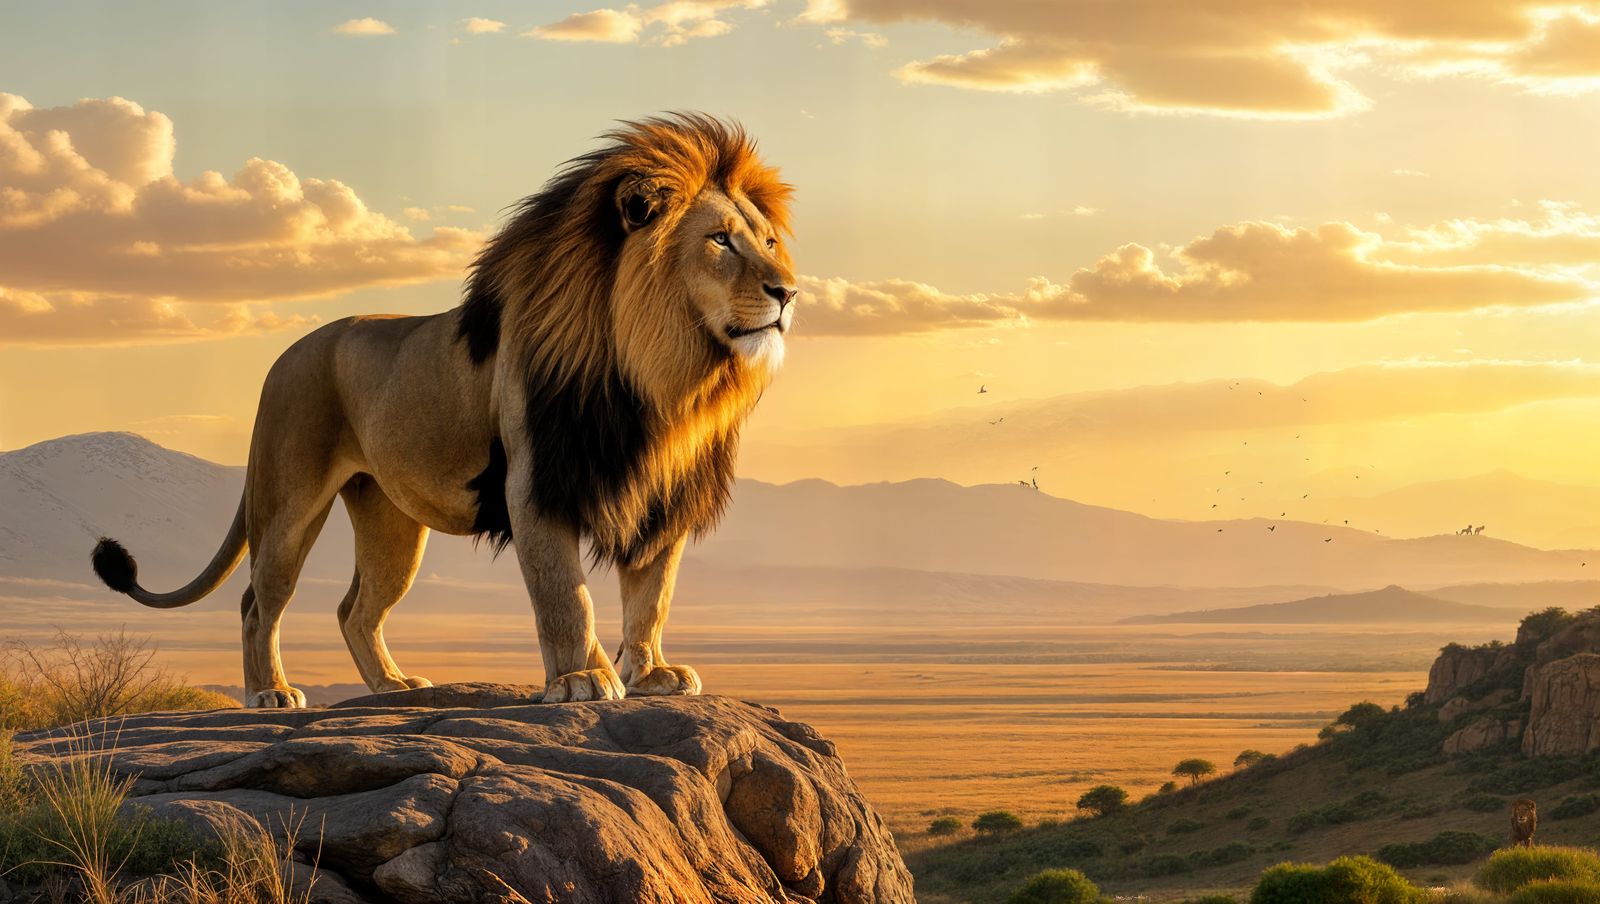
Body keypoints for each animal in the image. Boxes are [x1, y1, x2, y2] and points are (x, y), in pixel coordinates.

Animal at [90, 115, 796, 709]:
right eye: (720, 242)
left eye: (766, 240)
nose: (788, 291)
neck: (662, 380)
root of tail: (285, 355)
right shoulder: (536, 482)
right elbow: (566, 594)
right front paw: (581, 679)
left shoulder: (664, 493)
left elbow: (651, 596)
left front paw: (651, 674)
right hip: (289, 500)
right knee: (257, 603)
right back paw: (271, 694)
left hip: (390, 520)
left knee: (355, 609)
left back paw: (392, 686)